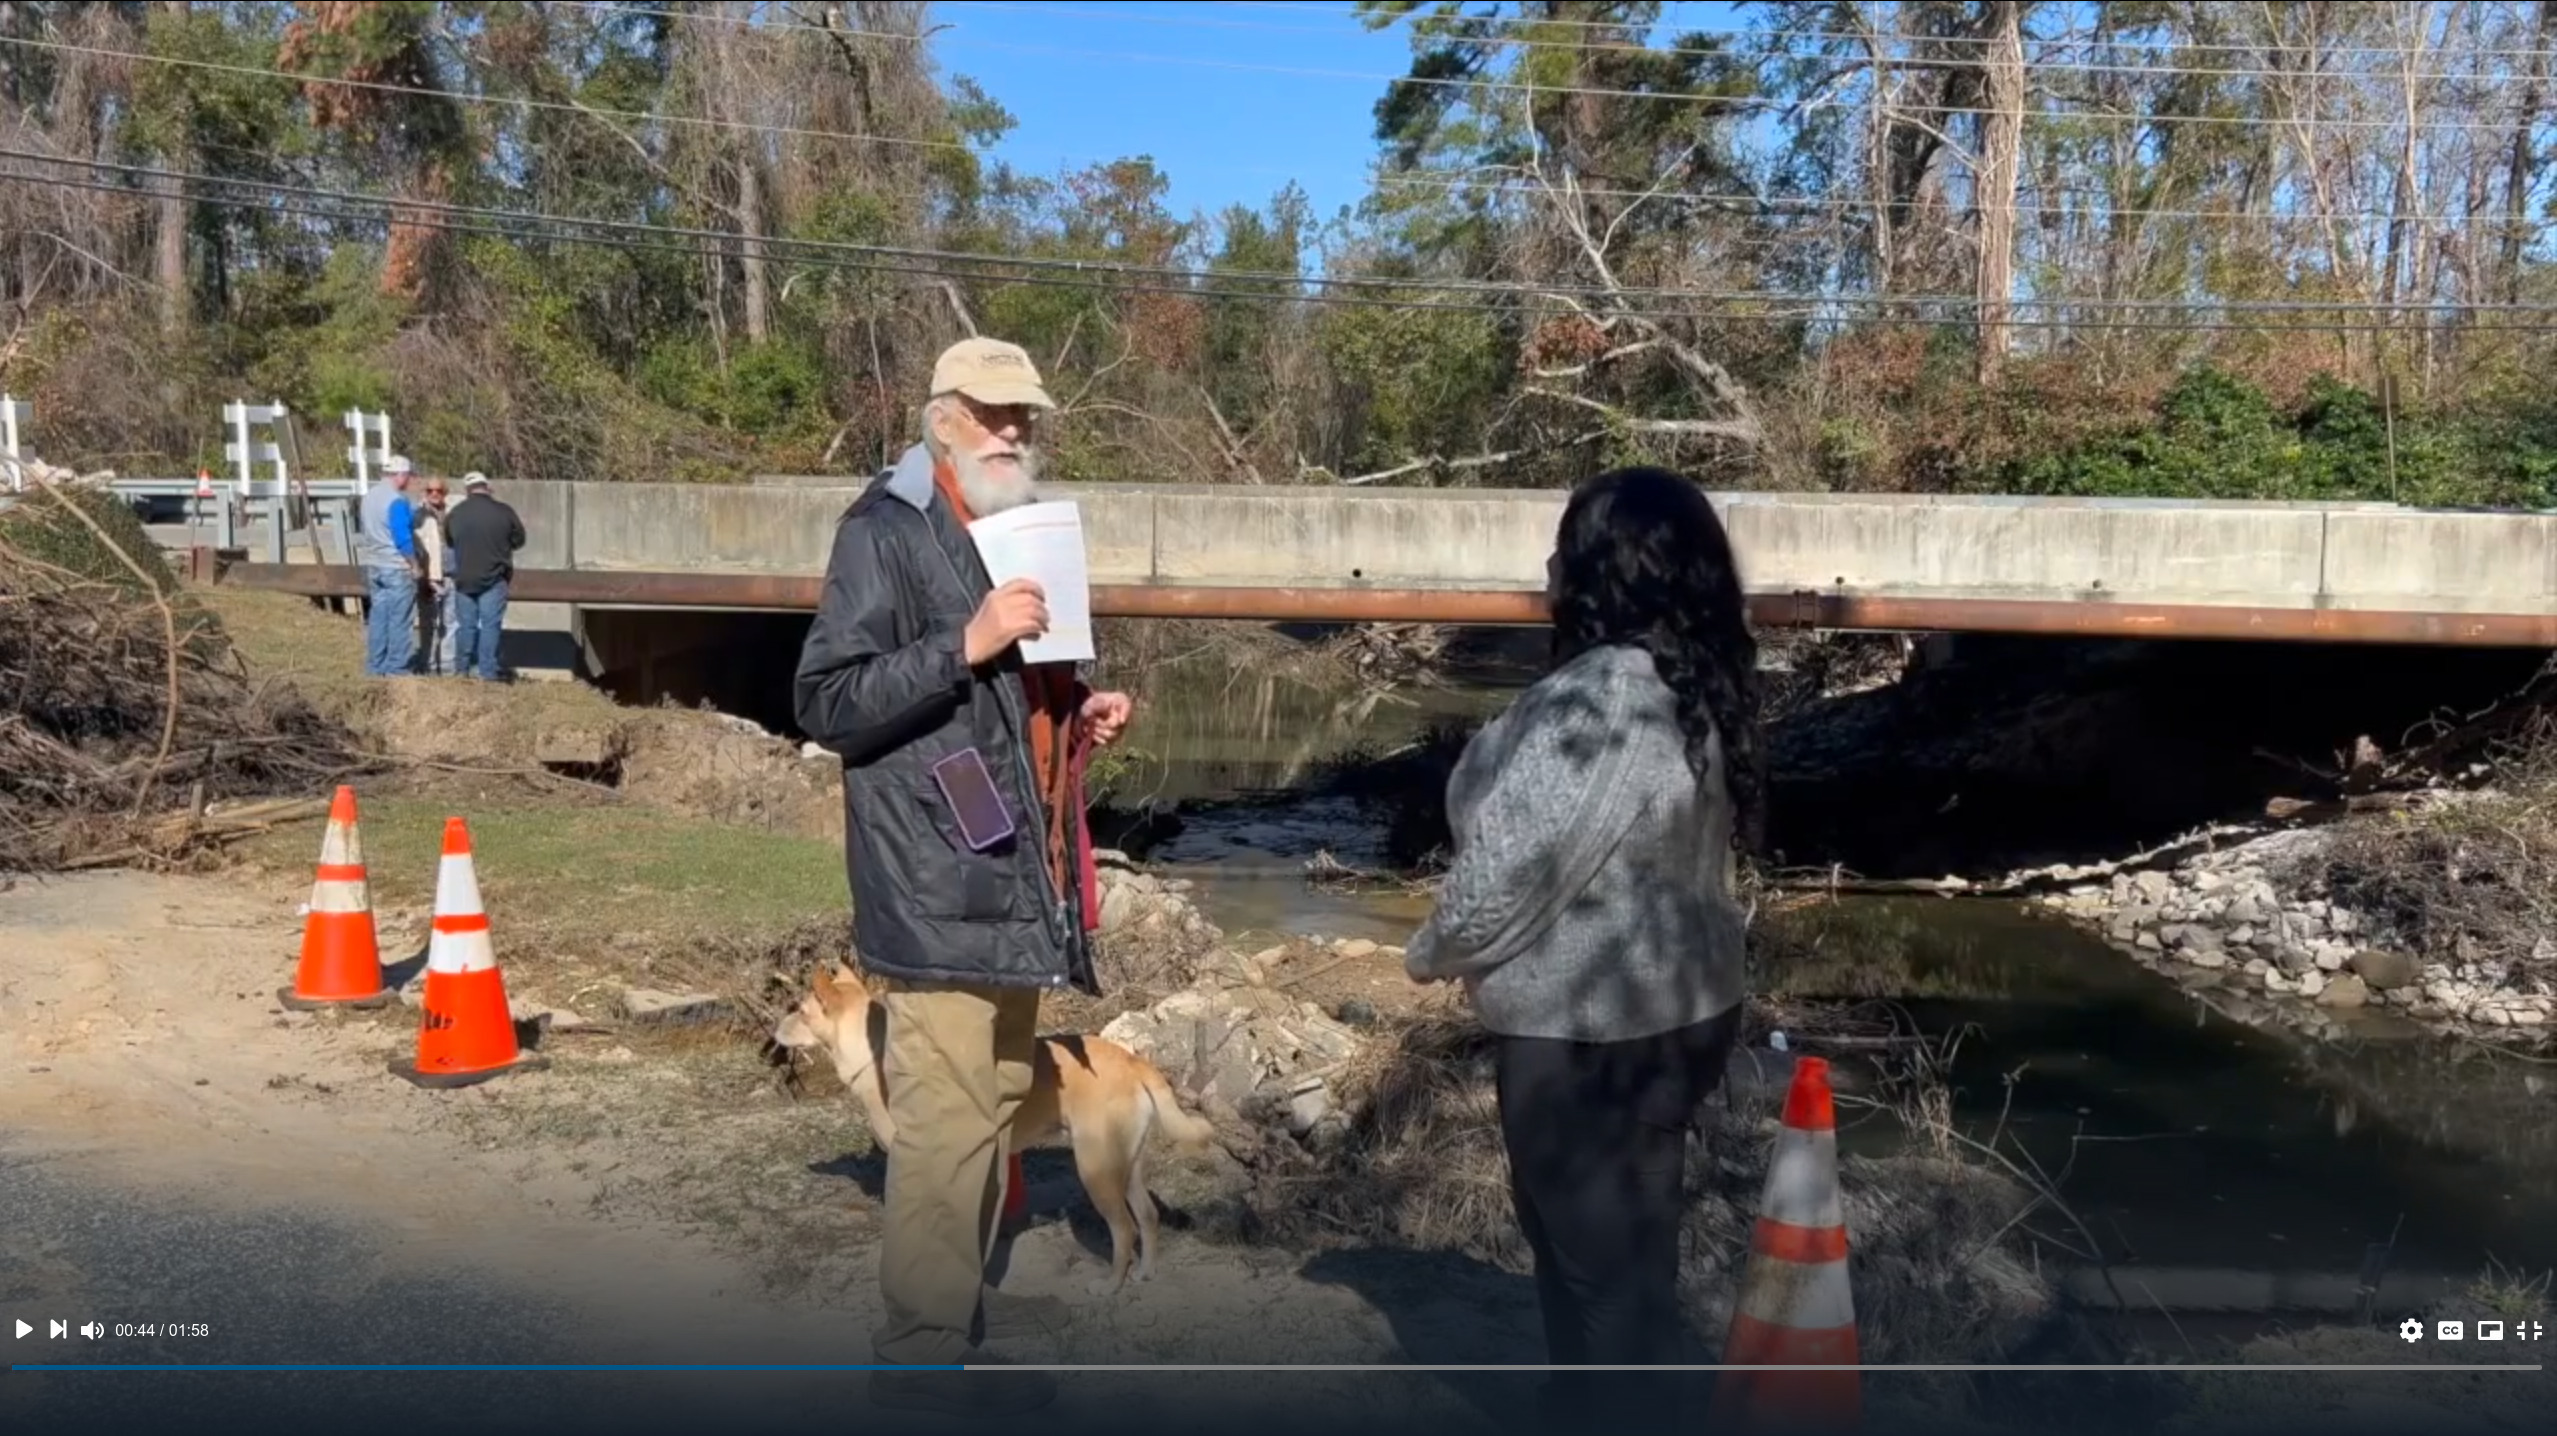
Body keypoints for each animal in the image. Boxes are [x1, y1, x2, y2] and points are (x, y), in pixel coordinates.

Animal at [772, 960, 1222, 1287]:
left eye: (800, 1011)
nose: (773, 1032)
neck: (877, 1051)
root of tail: (1133, 1061)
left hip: (1096, 1169)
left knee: (1125, 1229)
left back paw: (1112, 1286)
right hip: (1126, 1167)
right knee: (1147, 1216)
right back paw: (1144, 1274)